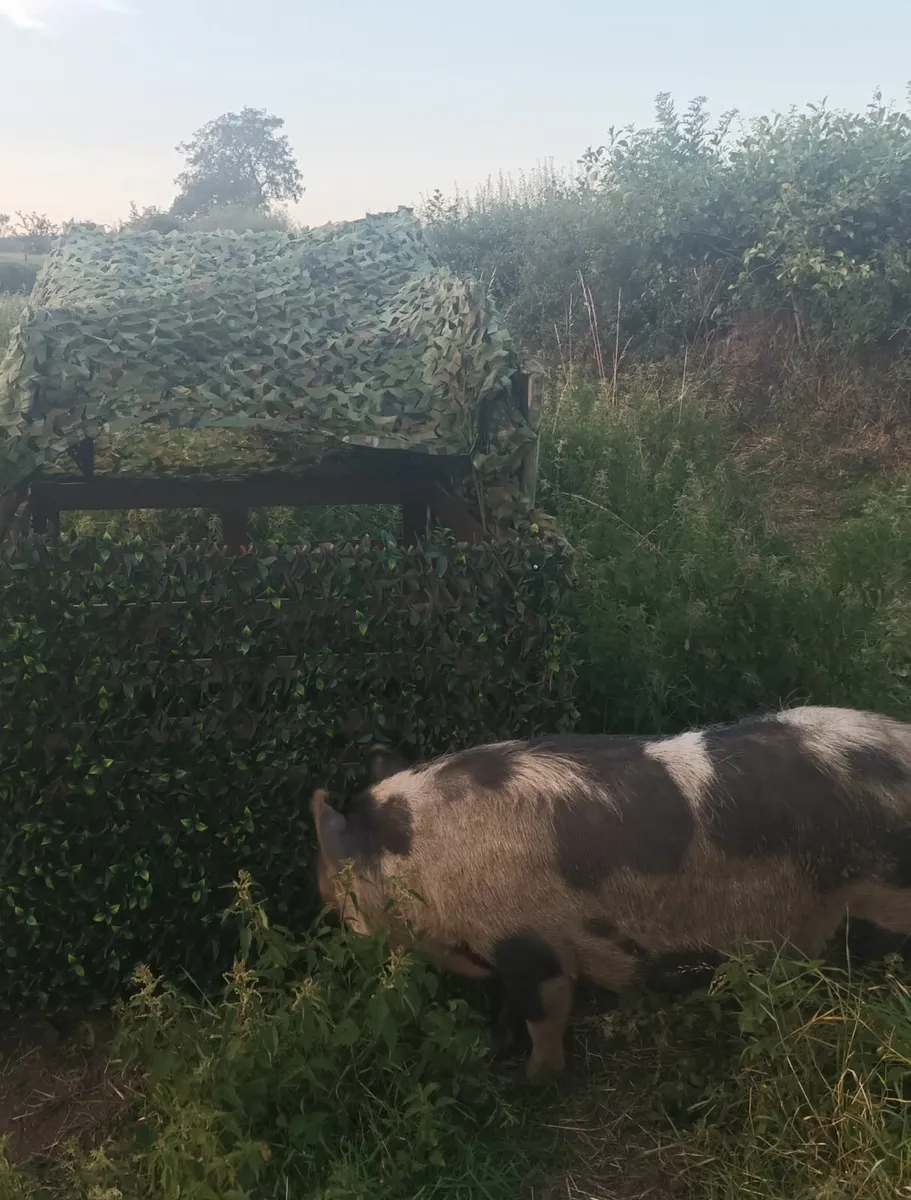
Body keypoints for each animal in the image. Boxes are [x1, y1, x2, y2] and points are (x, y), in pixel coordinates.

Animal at [310, 706, 911, 1078]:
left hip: (886, 906)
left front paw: (534, 1079)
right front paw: (494, 1049)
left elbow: (545, 1014)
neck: (425, 871)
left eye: (338, 888)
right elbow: (508, 1006)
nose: (325, 909)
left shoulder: (535, 947)